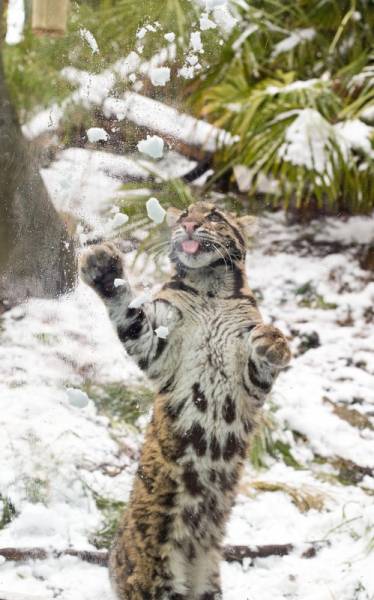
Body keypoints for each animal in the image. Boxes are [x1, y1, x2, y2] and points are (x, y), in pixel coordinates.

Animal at [81, 203, 292, 600]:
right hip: (154, 580)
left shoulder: (249, 385)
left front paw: (273, 342)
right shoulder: (159, 353)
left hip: (207, 586)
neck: (209, 287)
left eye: (214, 216)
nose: (190, 224)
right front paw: (105, 271)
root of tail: (112, 560)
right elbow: (130, 316)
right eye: (183, 217)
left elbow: (261, 361)